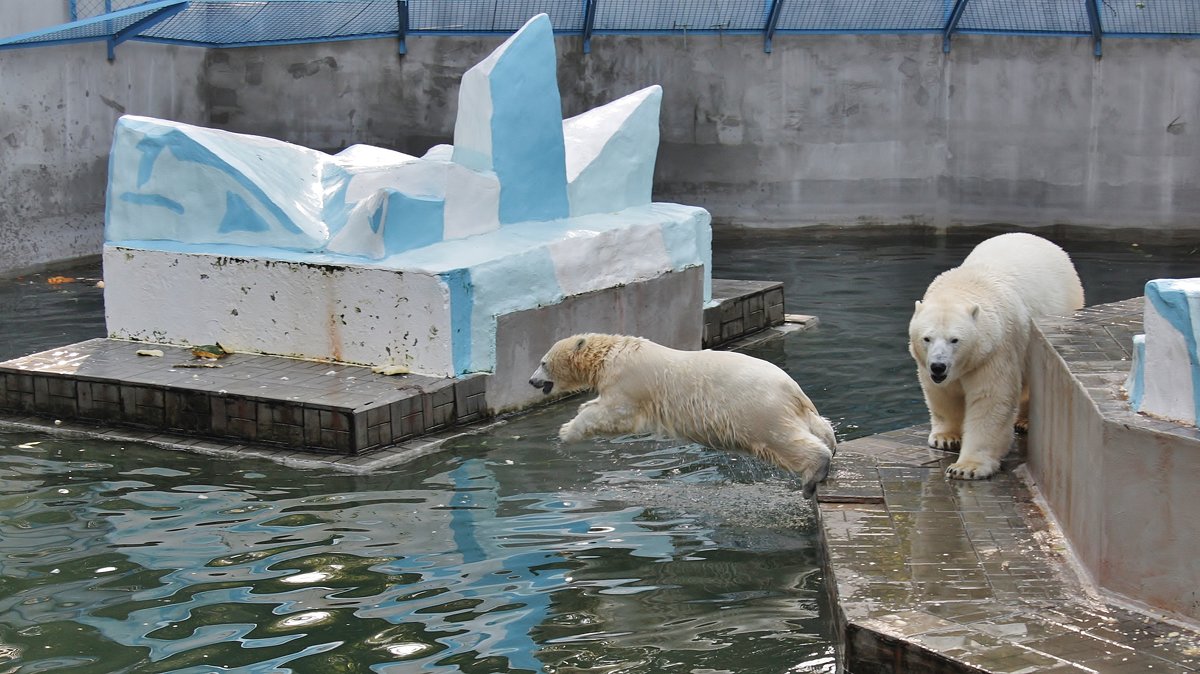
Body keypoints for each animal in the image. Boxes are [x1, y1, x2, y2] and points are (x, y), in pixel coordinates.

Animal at [530, 331, 840, 496]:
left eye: (543, 362)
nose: (532, 381)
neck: (611, 354)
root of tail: (794, 390)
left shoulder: (629, 383)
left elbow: (615, 414)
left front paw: (567, 431)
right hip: (789, 410)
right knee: (819, 427)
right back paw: (831, 445)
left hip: (758, 409)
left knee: (783, 440)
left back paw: (813, 475)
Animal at [907, 230, 1089, 477]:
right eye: (927, 338)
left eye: (955, 339)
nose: (938, 366)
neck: (964, 285)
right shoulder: (928, 364)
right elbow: (942, 393)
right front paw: (946, 438)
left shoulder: (995, 349)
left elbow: (990, 400)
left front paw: (966, 467)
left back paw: (1024, 421)